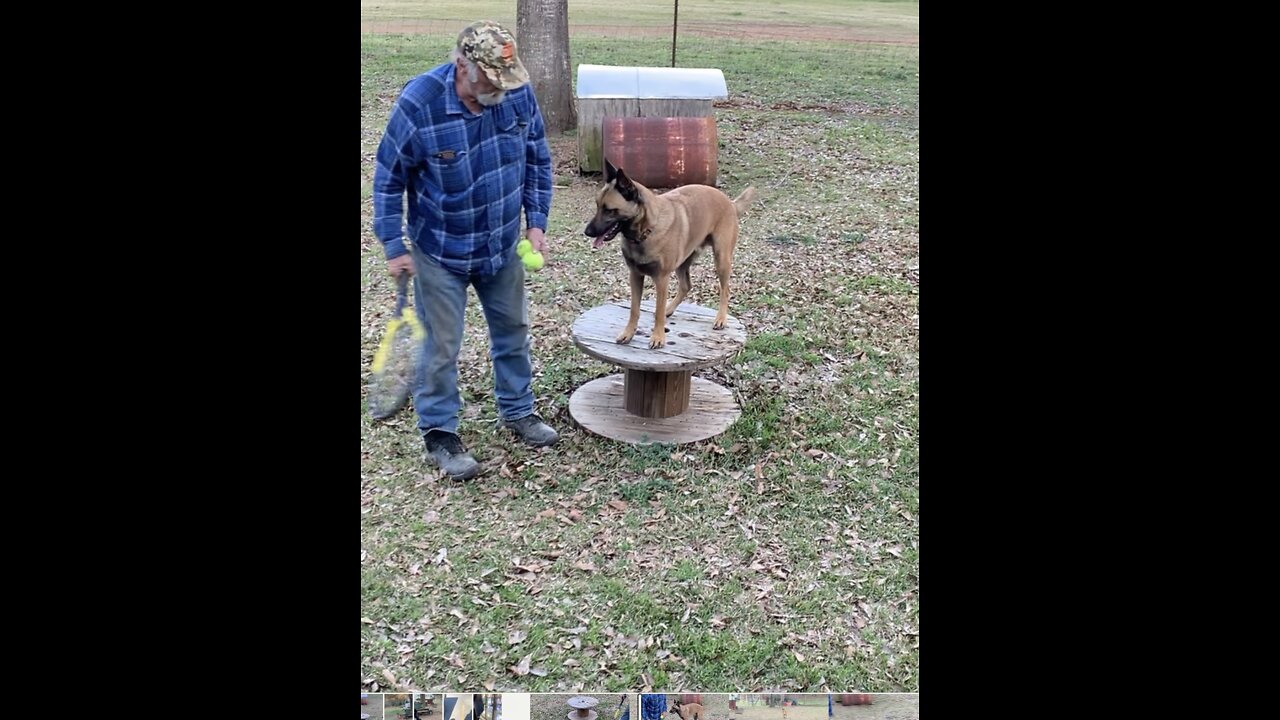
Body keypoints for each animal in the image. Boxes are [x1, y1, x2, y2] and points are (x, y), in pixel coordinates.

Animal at [586, 161, 752, 345]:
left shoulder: (661, 279)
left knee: (725, 289)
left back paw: (721, 318)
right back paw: (670, 309)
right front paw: (628, 333)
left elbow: (658, 311)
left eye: (609, 210)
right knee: (686, 286)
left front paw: (658, 337)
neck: (645, 232)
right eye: (597, 206)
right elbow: (634, 310)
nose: (587, 232)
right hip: (683, 263)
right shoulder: (635, 276)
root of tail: (730, 202)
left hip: (721, 259)